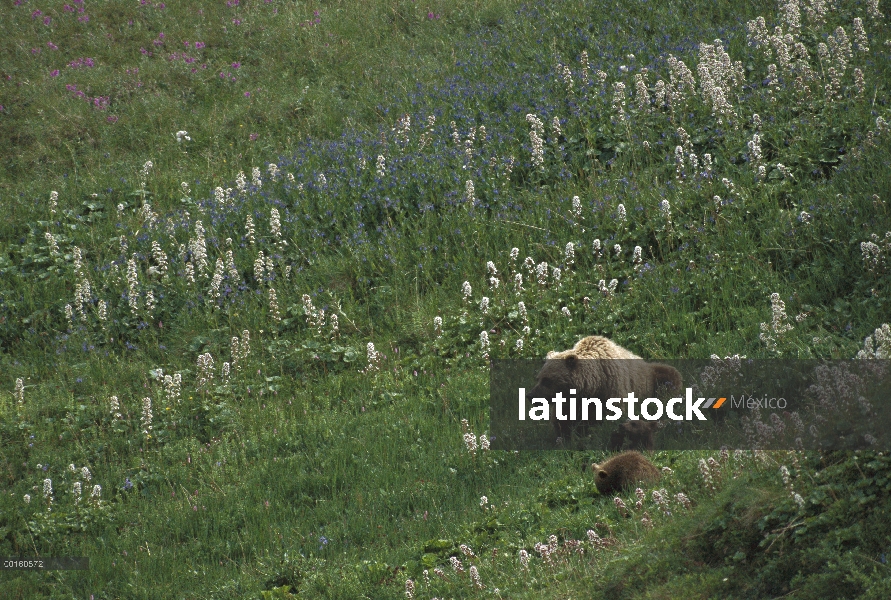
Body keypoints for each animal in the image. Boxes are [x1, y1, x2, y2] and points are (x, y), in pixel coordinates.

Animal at [528, 338, 684, 446]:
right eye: (538, 378)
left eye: (547, 380)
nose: (530, 395)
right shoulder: (570, 402)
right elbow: (562, 420)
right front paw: (565, 438)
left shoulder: (612, 388)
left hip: (653, 376)